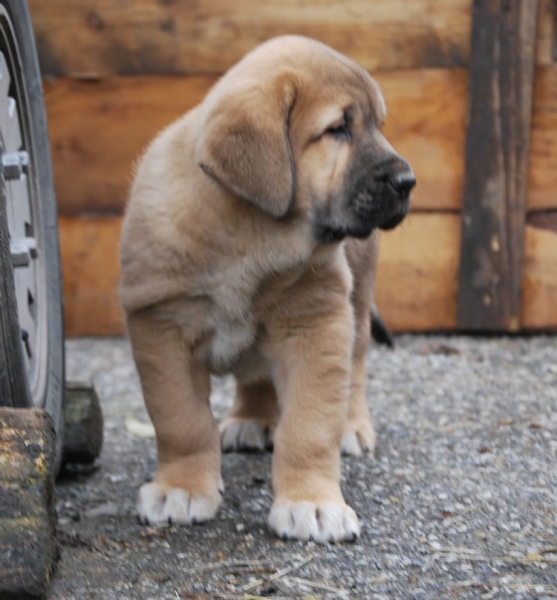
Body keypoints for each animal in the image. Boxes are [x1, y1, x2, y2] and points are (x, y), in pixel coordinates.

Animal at [120, 36, 412, 544]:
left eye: (378, 126)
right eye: (338, 129)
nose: (408, 181)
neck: (250, 233)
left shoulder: (317, 323)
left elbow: (309, 426)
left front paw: (312, 503)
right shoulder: (161, 329)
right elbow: (181, 421)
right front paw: (181, 488)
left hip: (357, 301)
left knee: (355, 367)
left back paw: (352, 427)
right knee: (254, 375)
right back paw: (251, 419)